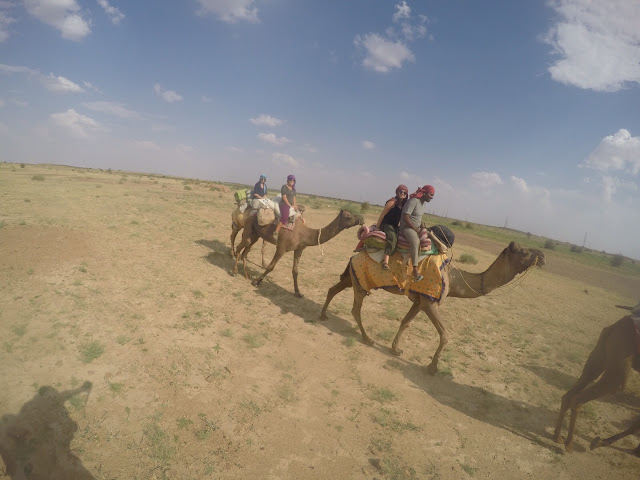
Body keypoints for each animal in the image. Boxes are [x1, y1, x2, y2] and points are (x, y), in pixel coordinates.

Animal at [233, 209, 364, 297]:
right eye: (348, 216)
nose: (361, 219)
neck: (304, 234)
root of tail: (250, 214)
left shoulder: (299, 249)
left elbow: (295, 271)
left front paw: (298, 292)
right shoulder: (281, 248)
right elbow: (271, 266)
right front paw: (257, 281)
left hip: (256, 235)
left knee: (245, 251)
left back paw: (246, 275)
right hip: (249, 230)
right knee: (240, 248)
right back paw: (235, 272)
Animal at [320, 241, 545, 374]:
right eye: (524, 251)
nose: (542, 256)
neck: (453, 278)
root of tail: (354, 256)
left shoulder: (420, 301)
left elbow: (405, 322)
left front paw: (395, 349)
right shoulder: (430, 301)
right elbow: (445, 334)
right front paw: (433, 366)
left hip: (353, 277)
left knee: (333, 289)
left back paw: (323, 315)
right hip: (361, 281)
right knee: (355, 309)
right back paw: (367, 338)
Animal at [554, 302, 640, 453]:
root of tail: (619, 324)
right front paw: (600, 442)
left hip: (598, 357)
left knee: (569, 395)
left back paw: (558, 437)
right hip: (618, 369)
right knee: (578, 399)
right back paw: (569, 444)